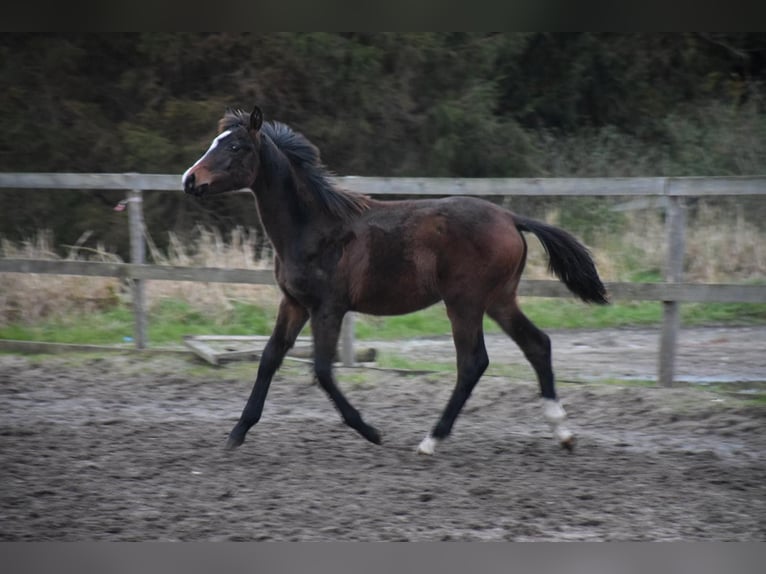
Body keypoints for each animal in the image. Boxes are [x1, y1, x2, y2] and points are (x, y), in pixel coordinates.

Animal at [183, 104, 608, 454]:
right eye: (216, 142)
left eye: (235, 146)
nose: (190, 180)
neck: (313, 226)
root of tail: (510, 218)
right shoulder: (294, 303)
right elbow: (270, 358)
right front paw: (237, 433)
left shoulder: (328, 308)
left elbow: (322, 369)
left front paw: (370, 431)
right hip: (499, 299)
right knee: (537, 344)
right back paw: (563, 433)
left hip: (465, 302)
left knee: (473, 363)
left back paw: (431, 440)